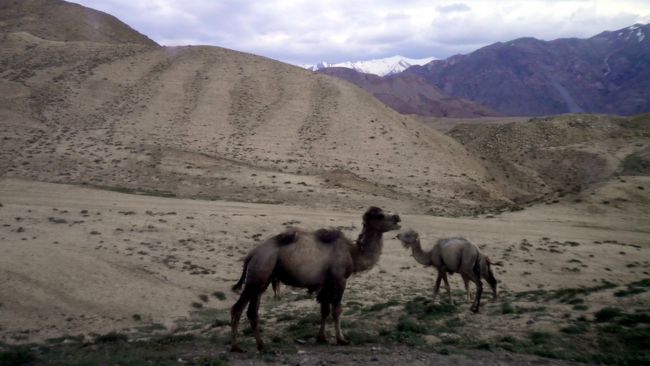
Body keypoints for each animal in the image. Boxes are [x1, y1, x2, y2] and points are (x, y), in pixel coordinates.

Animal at [228, 206, 400, 352]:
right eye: (380, 215)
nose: (398, 218)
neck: (353, 254)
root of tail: (251, 255)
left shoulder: (326, 282)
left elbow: (324, 310)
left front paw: (322, 338)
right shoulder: (339, 279)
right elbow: (337, 310)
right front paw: (342, 339)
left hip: (262, 281)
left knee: (252, 312)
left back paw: (261, 345)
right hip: (257, 274)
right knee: (237, 308)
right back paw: (236, 347)